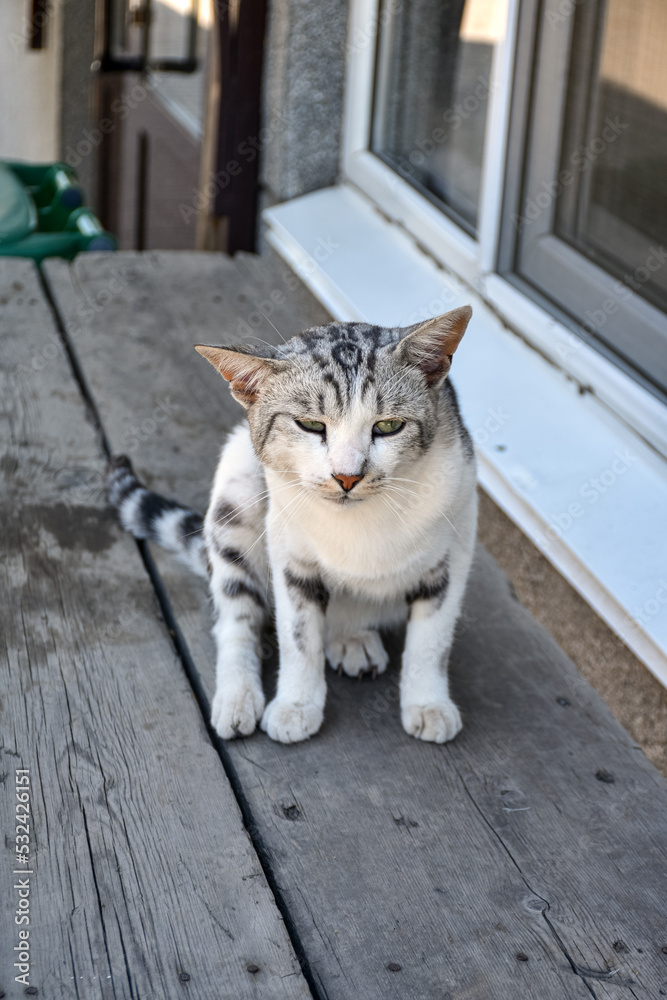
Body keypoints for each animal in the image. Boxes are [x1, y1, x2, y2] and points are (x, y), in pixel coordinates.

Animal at [107, 304, 478, 744]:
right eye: (311, 425)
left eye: (388, 426)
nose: (347, 476)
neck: (359, 523)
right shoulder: (289, 554)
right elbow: (297, 637)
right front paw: (296, 705)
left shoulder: (455, 545)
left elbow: (431, 640)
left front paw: (428, 703)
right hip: (236, 489)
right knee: (235, 619)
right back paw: (237, 695)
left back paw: (352, 636)